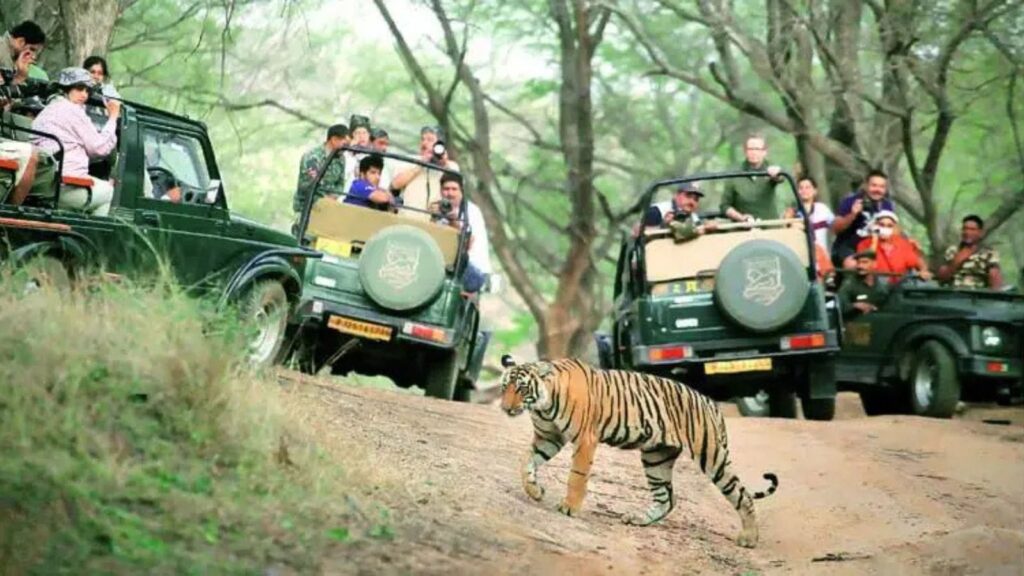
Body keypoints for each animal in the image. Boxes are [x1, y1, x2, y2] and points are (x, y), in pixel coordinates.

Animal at [498, 355, 778, 548]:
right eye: (504, 387)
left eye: (521, 388)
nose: (505, 408)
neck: (543, 405)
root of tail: (711, 403)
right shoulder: (548, 438)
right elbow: (527, 462)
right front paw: (534, 491)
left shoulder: (585, 440)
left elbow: (576, 476)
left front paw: (569, 508)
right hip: (656, 457)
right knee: (668, 498)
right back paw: (638, 519)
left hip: (711, 456)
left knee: (742, 495)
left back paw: (749, 538)